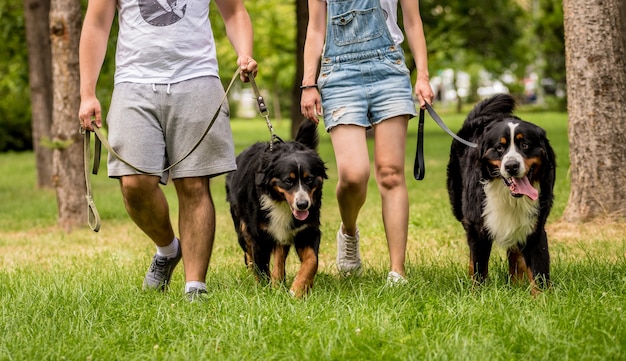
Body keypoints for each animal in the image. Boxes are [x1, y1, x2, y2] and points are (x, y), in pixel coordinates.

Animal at [227, 119, 330, 296]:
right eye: (288, 181)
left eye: (309, 179)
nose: (302, 205)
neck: (281, 203)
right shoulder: (259, 234)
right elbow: (261, 267)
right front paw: (265, 291)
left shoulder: (307, 230)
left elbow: (312, 261)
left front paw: (298, 289)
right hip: (242, 227)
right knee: (249, 254)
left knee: (279, 257)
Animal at [444, 93, 556, 292]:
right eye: (499, 148)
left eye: (525, 145)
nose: (511, 166)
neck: (509, 197)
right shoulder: (478, 226)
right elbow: (478, 268)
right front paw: (477, 293)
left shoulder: (534, 228)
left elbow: (539, 273)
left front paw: (543, 297)